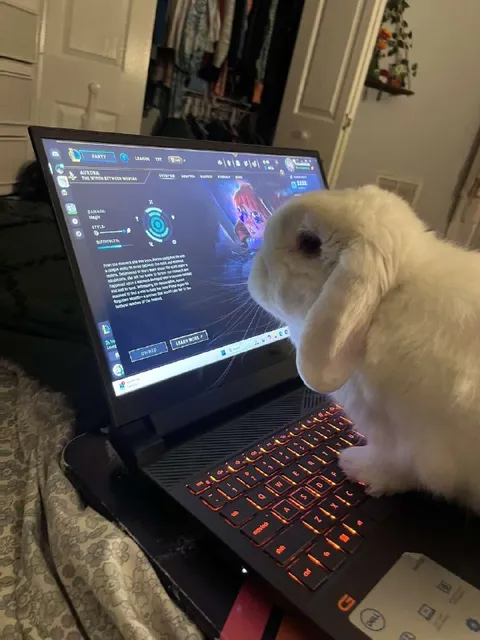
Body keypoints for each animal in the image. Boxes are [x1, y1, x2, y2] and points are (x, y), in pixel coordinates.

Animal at [248, 184, 480, 513]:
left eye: (309, 244)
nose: (254, 270)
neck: (387, 299)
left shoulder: (413, 442)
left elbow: (397, 466)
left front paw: (355, 465)